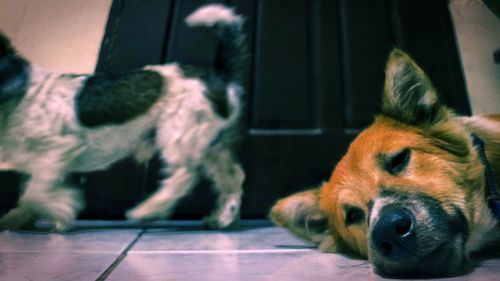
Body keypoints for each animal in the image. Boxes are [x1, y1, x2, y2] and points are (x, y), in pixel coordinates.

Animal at [0, 4, 246, 231]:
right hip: (211, 144)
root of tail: (219, 74)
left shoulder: (60, 148)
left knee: (184, 176)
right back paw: (222, 218)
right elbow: (31, 191)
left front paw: (62, 211)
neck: (20, 93)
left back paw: (147, 210)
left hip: (179, 135)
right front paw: (16, 218)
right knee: (233, 176)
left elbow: (35, 191)